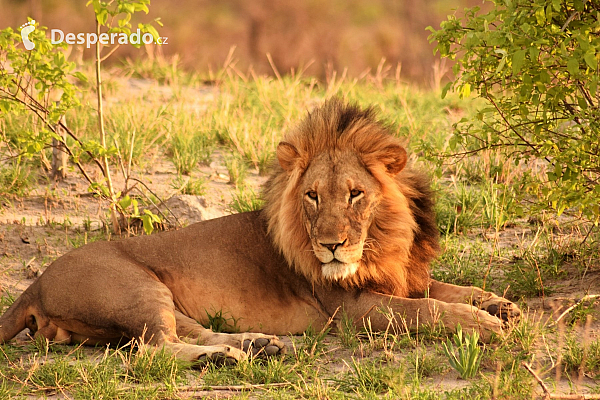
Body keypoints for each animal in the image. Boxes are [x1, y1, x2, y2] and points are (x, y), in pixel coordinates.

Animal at [0, 99, 516, 366]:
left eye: (354, 194)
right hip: (135, 288)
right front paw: (483, 325)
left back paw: (256, 345)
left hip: (158, 297)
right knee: (152, 351)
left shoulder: (402, 277)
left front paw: (498, 305)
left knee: (187, 332)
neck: (383, 240)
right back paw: (223, 359)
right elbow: (427, 308)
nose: (330, 246)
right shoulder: (352, 309)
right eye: (312, 196)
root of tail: (35, 284)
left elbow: (447, 288)